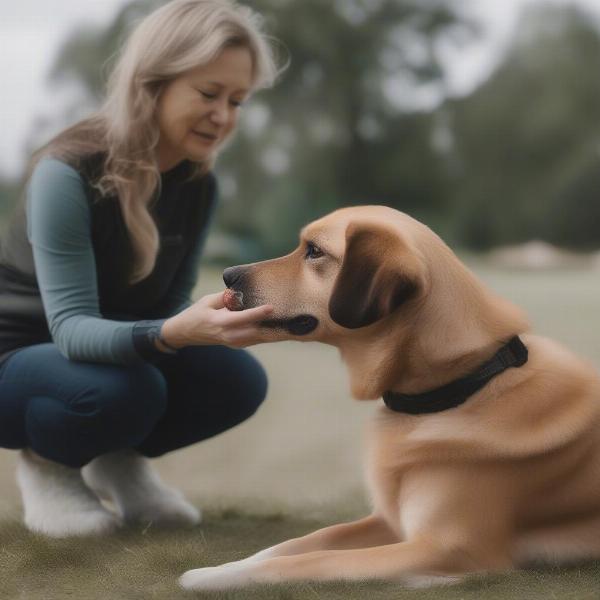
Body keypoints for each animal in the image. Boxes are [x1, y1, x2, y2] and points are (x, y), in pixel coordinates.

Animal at [180, 206, 600, 592]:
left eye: (314, 251)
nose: (228, 275)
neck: (465, 384)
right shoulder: (387, 520)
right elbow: (304, 541)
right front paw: (229, 566)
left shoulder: (449, 547)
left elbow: (315, 560)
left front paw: (208, 577)